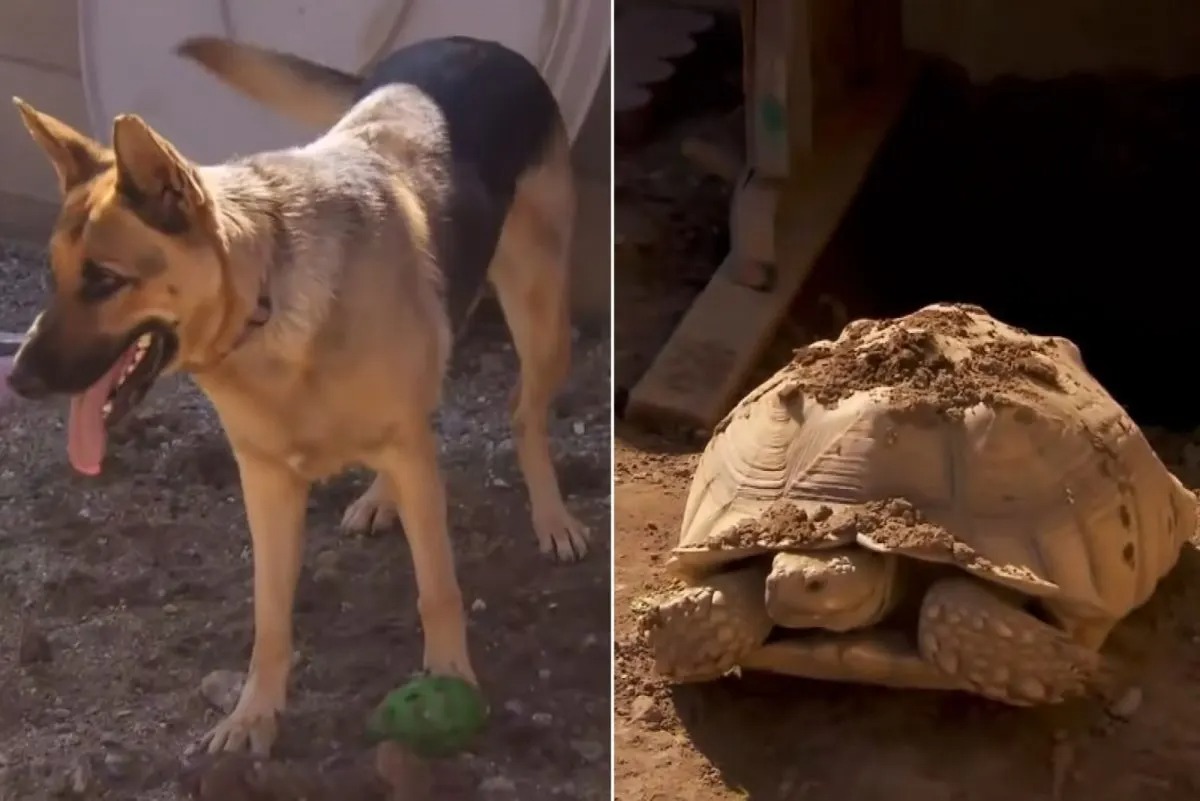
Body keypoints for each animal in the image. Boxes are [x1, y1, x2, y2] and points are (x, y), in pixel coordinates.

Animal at [8, 32, 590, 757]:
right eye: (55, 276)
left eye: (105, 280)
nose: (17, 379)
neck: (268, 306)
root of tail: (475, 44)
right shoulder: (266, 484)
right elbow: (270, 614)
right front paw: (254, 713)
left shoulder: (402, 457)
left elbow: (438, 587)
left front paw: (451, 676)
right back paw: (380, 498)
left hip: (541, 320)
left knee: (523, 415)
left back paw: (551, 516)